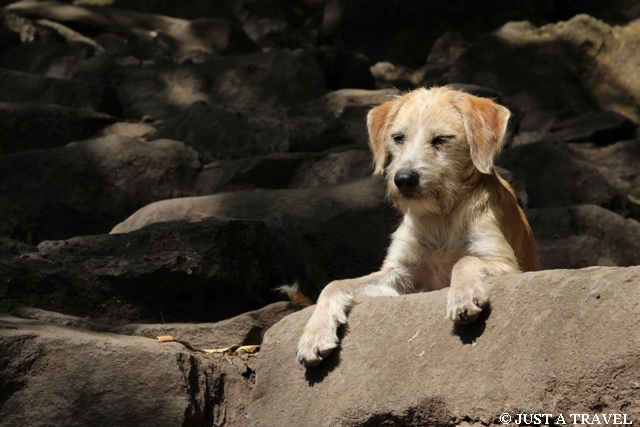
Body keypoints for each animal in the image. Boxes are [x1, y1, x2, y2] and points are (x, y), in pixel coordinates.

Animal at [296, 86, 540, 368]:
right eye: (398, 138)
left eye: (441, 139)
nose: (403, 179)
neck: (440, 217)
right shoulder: (402, 274)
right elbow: (335, 284)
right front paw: (315, 333)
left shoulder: (508, 265)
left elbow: (465, 260)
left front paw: (463, 294)